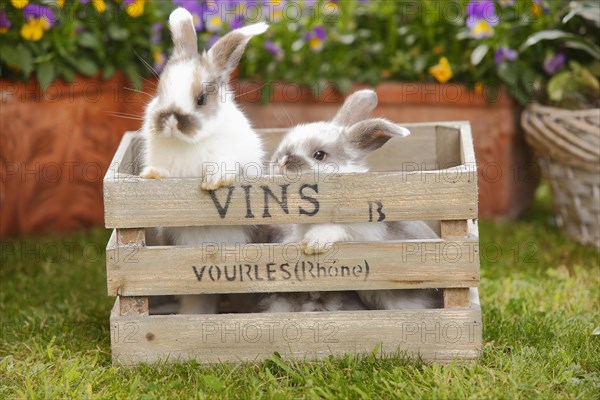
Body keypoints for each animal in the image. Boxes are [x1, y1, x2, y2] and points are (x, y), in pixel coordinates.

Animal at [141, 7, 268, 314]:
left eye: (200, 99)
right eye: (159, 92)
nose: (171, 120)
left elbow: (226, 166)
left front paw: (213, 181)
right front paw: (152, 175)